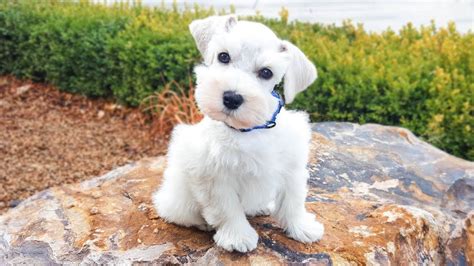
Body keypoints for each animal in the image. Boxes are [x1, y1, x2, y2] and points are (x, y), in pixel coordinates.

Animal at [154, 15, 324, 252]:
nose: (232, 98)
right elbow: (228, 209)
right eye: (223, 56)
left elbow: (293, 202)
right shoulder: (214, 177)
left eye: (266, 72)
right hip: (178, 199)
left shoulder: (291, 168)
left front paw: (302, 228)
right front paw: (237, 237)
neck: (247, 130)